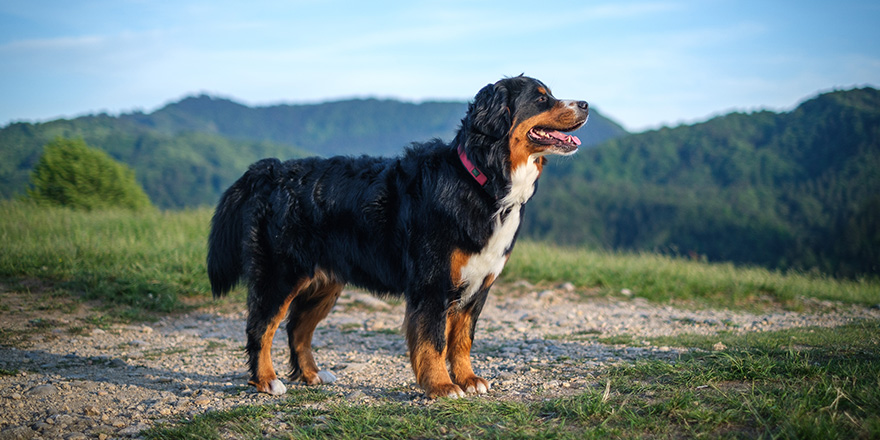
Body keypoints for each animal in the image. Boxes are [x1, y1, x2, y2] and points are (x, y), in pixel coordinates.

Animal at [207, 75, 588, 398]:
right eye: (541, 98)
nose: (585, 103)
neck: (481, 181)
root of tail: (271, 170)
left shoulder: (478, 287)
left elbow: (461, 340)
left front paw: (468, 379)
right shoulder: (432, 283)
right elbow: (432, 340)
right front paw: (442, 386)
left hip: (325, 283)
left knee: (297, 328)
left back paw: (311, 374)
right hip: (280, 274)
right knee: (261, 327)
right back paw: (266, 381)